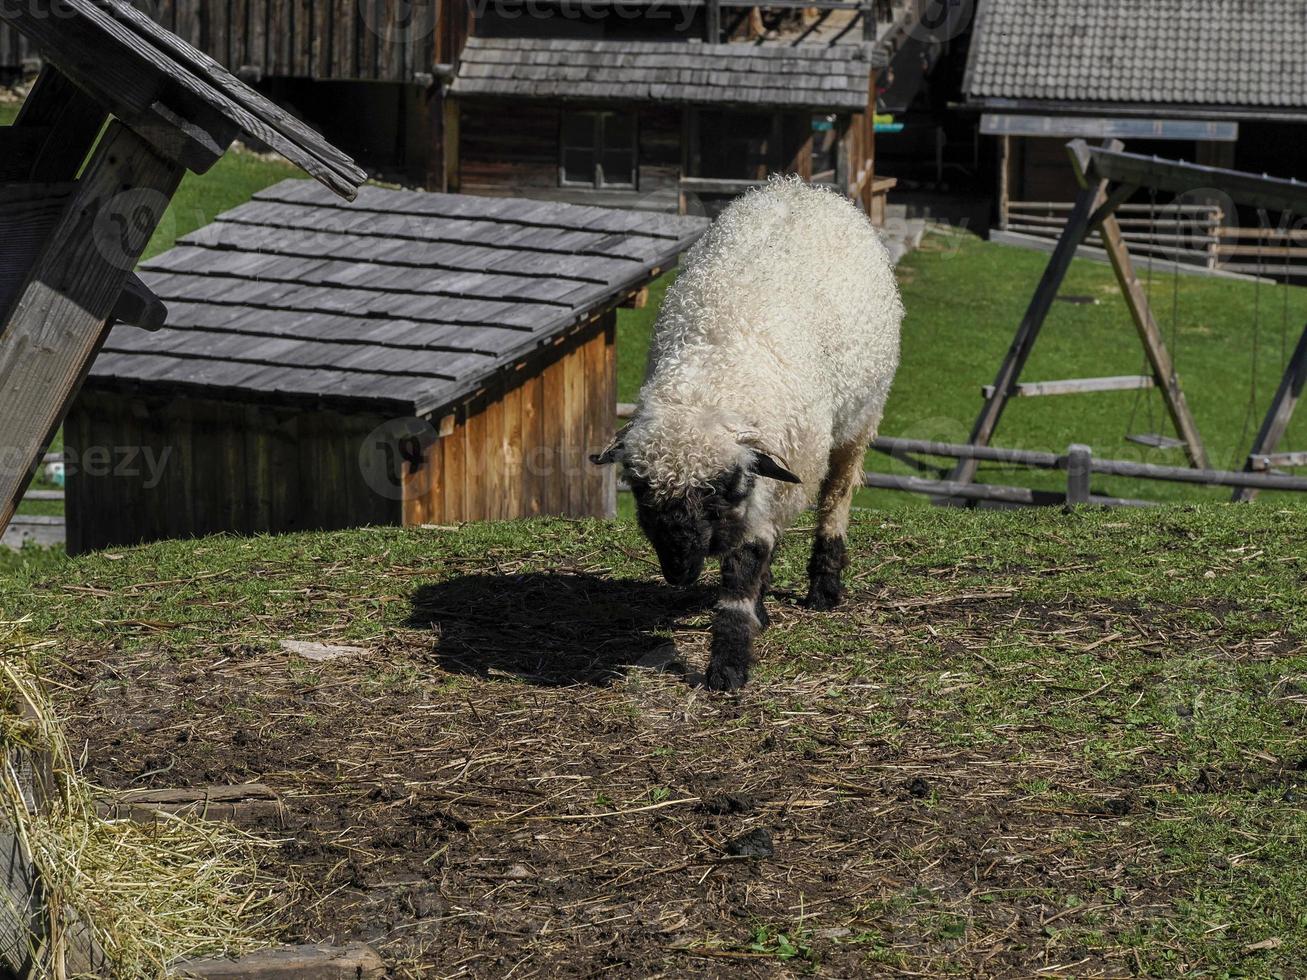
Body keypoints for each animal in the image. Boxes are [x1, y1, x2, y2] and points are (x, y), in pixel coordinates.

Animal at [598, 175, 904, 689]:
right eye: (639, 490)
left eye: (720, 488)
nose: (679, 571)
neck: (712, 377)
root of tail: (800, 187)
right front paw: (753, 616)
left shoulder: (762, 478)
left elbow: (744, 568)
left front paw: (728, 665)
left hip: (861, 416)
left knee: (838, 493)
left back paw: (825, 585)